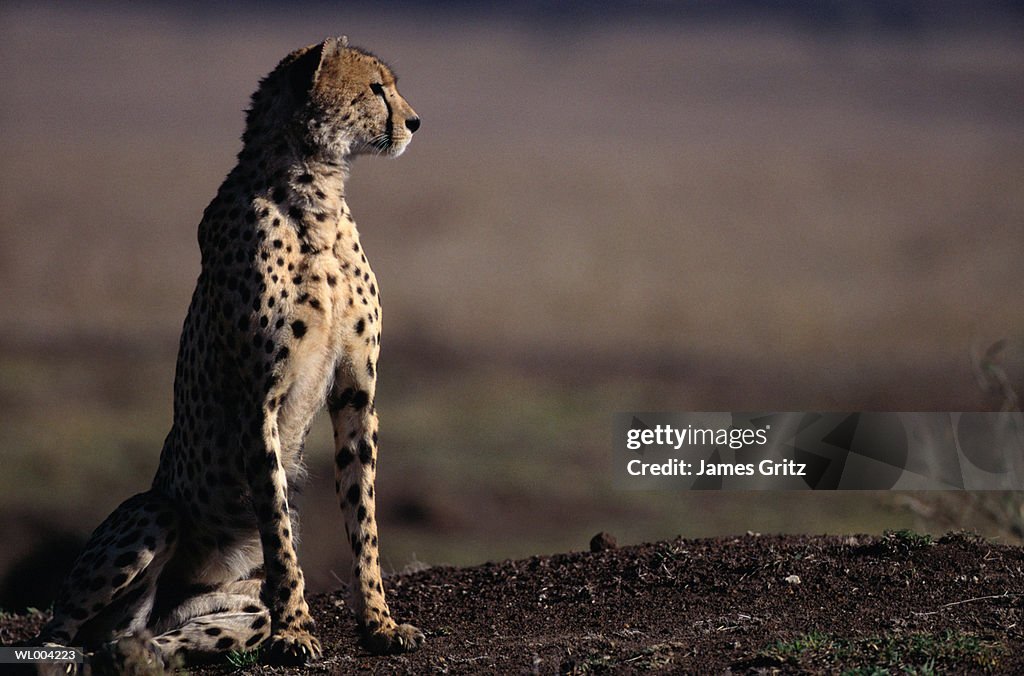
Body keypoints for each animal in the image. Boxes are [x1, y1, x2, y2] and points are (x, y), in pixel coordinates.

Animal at [35, 35, 424, 668]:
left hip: (216, 610)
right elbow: (277, 526)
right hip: (155, 510)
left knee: (137, 638)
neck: (315, 195)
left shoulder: (356, 393)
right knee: (58, 631)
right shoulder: (256, 399)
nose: (414, 121)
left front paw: (380, 624)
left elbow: (362, 517)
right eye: (375, 88)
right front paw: (297, 631)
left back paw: (139, 654)